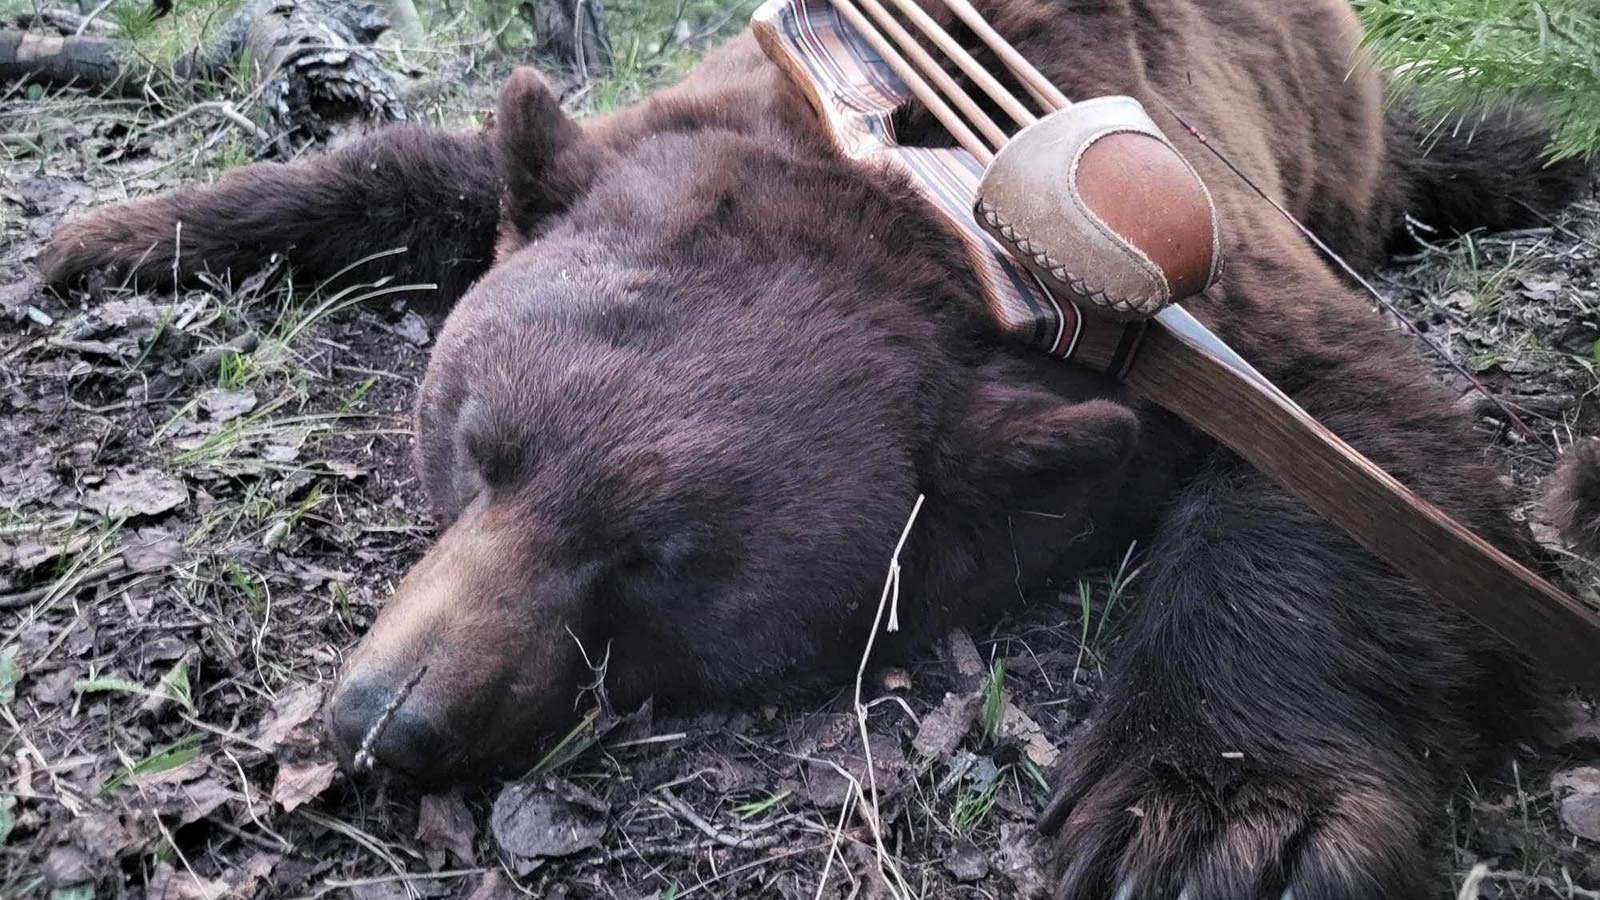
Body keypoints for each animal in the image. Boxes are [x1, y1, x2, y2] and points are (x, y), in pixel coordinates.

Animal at [40, 0, 1587, 890]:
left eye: (654, 565)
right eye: (476, 447)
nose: (383, 721)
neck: (906, 197)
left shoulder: (1192, 280)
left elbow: (1347, 448)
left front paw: (1214, 821)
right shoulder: (674, 127)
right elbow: (439, 162)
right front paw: (108, 235)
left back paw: (1522, 155)